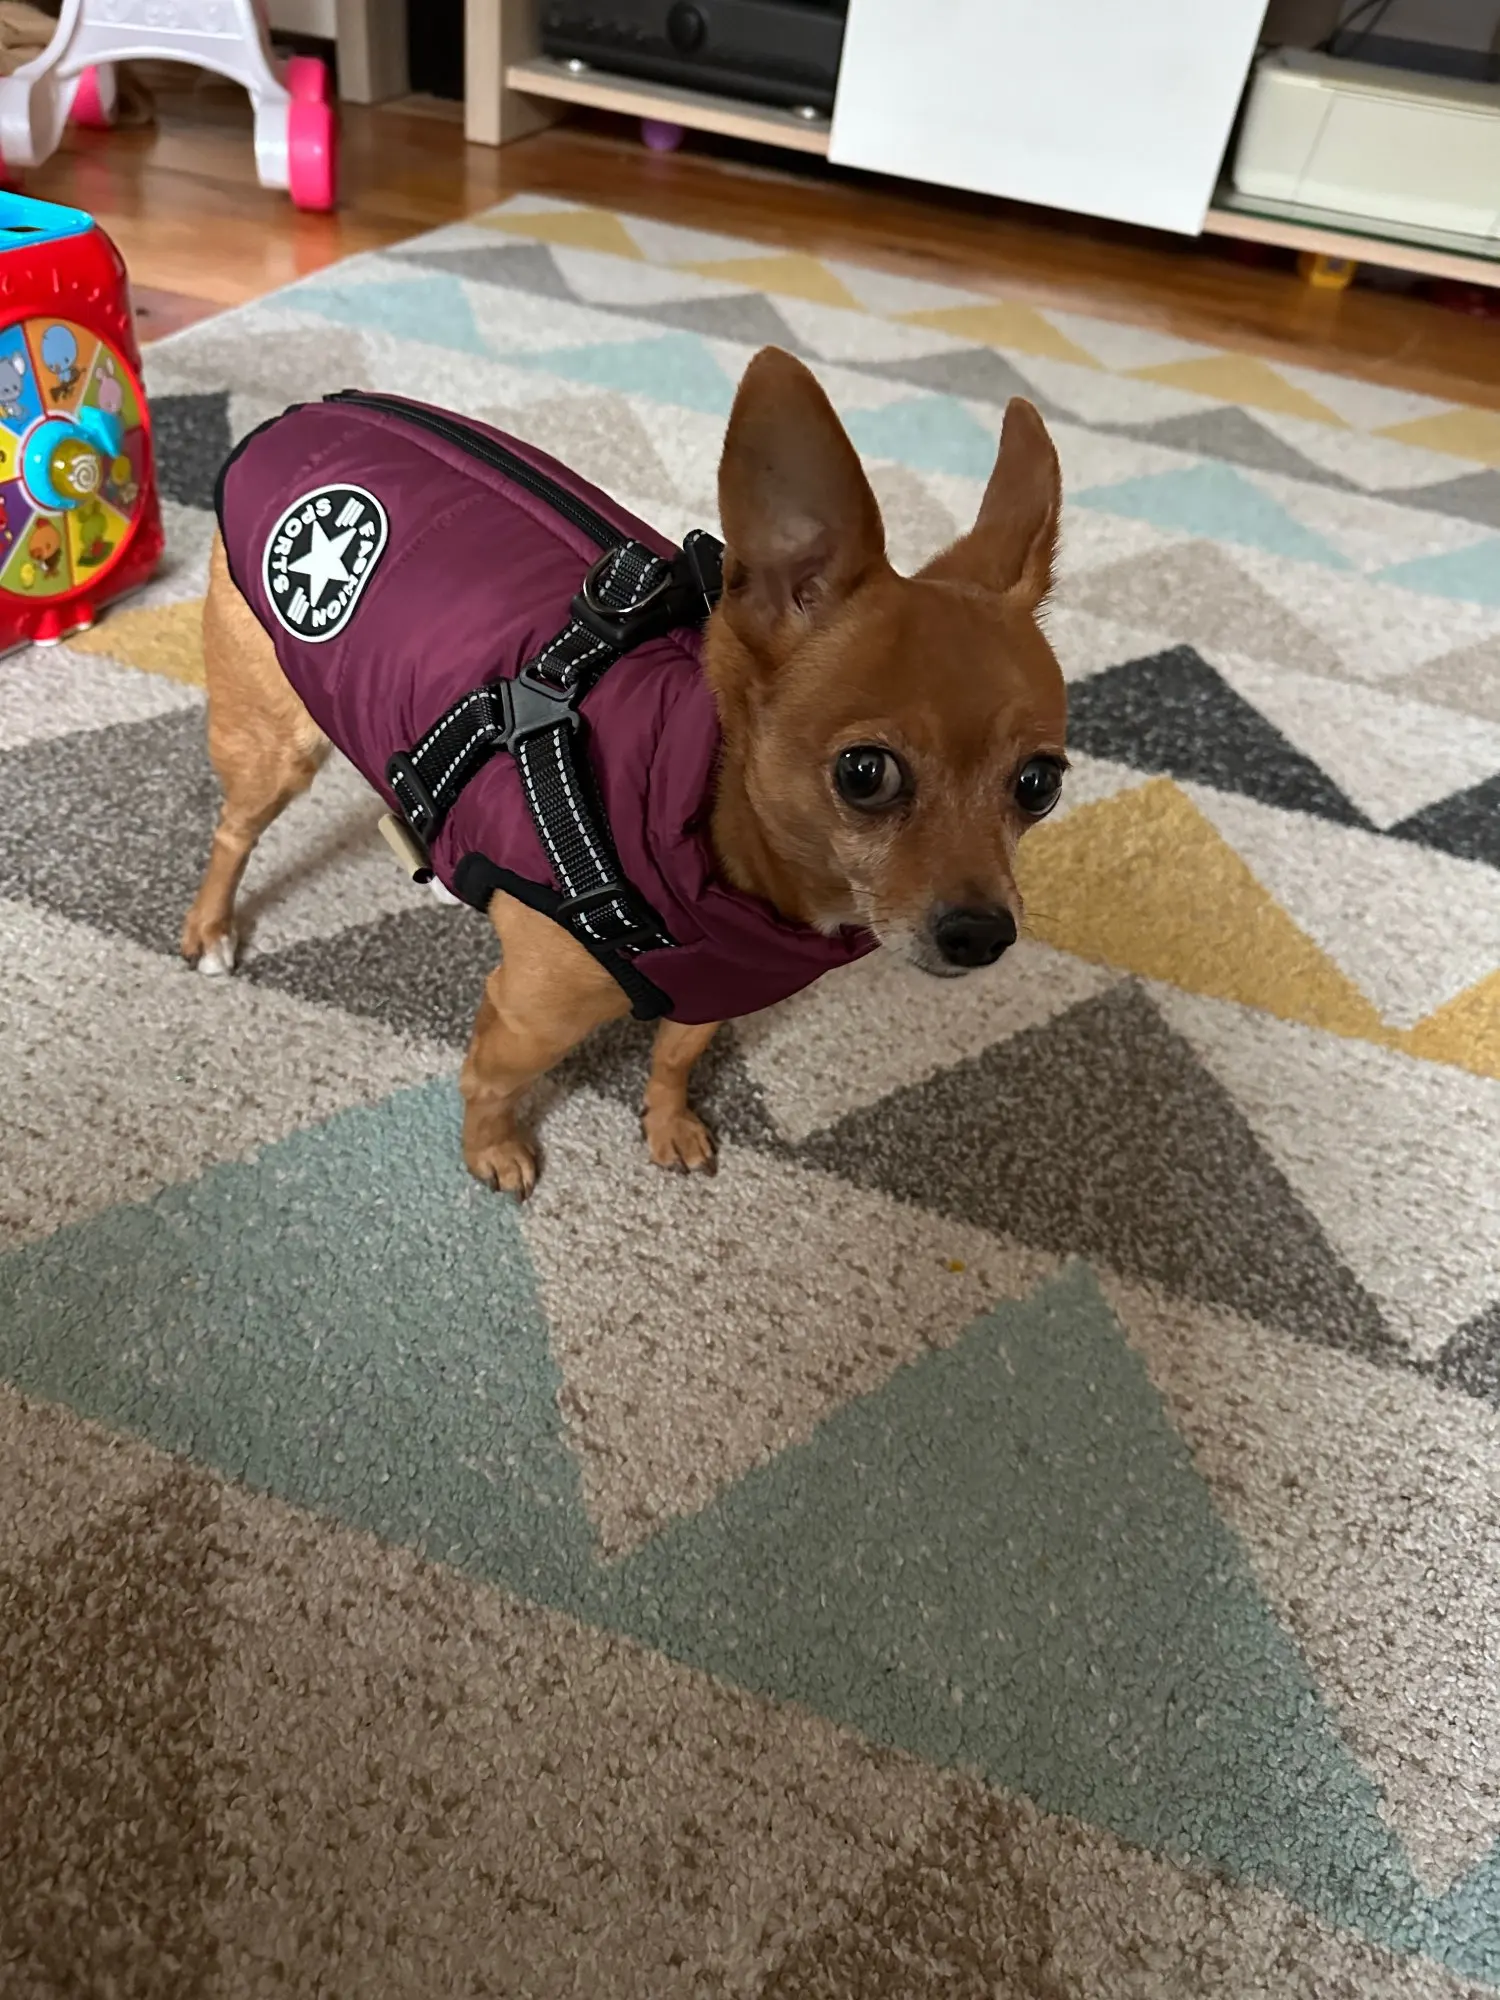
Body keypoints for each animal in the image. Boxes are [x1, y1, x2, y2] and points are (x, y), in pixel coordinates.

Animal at [183, 348, 1067, 1198]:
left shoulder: (713, 991)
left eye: (1041, 784)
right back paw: (212, 928)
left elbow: (675, 1056)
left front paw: (667, 1123)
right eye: (863, 773)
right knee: (232, 833)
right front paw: (491, 1150)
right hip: (274, 747)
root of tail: (305, 413)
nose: (984, 933)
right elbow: (489, 1083)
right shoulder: (525, 1018)